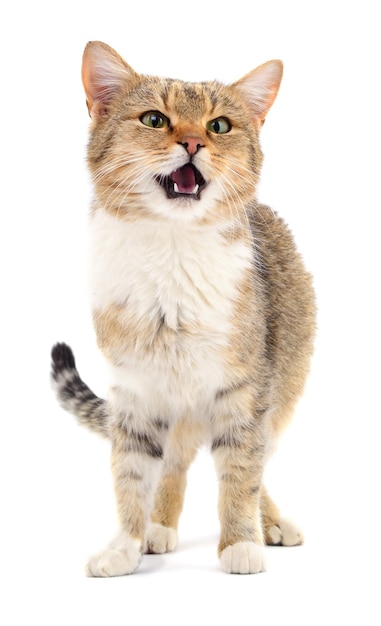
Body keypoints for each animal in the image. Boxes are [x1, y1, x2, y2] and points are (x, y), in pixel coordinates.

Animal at [52, 40, 316, 576]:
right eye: (155, 119)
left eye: (220, 126)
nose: (194, 143)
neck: (173, 248)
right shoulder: (135, 391)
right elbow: (131, 473)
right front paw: (126, 544)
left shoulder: (245, 388)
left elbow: (241, 471)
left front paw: (241, 542)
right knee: (174, 461)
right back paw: (159, 527)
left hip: (281, 391)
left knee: (253, 461)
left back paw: (271, 523)